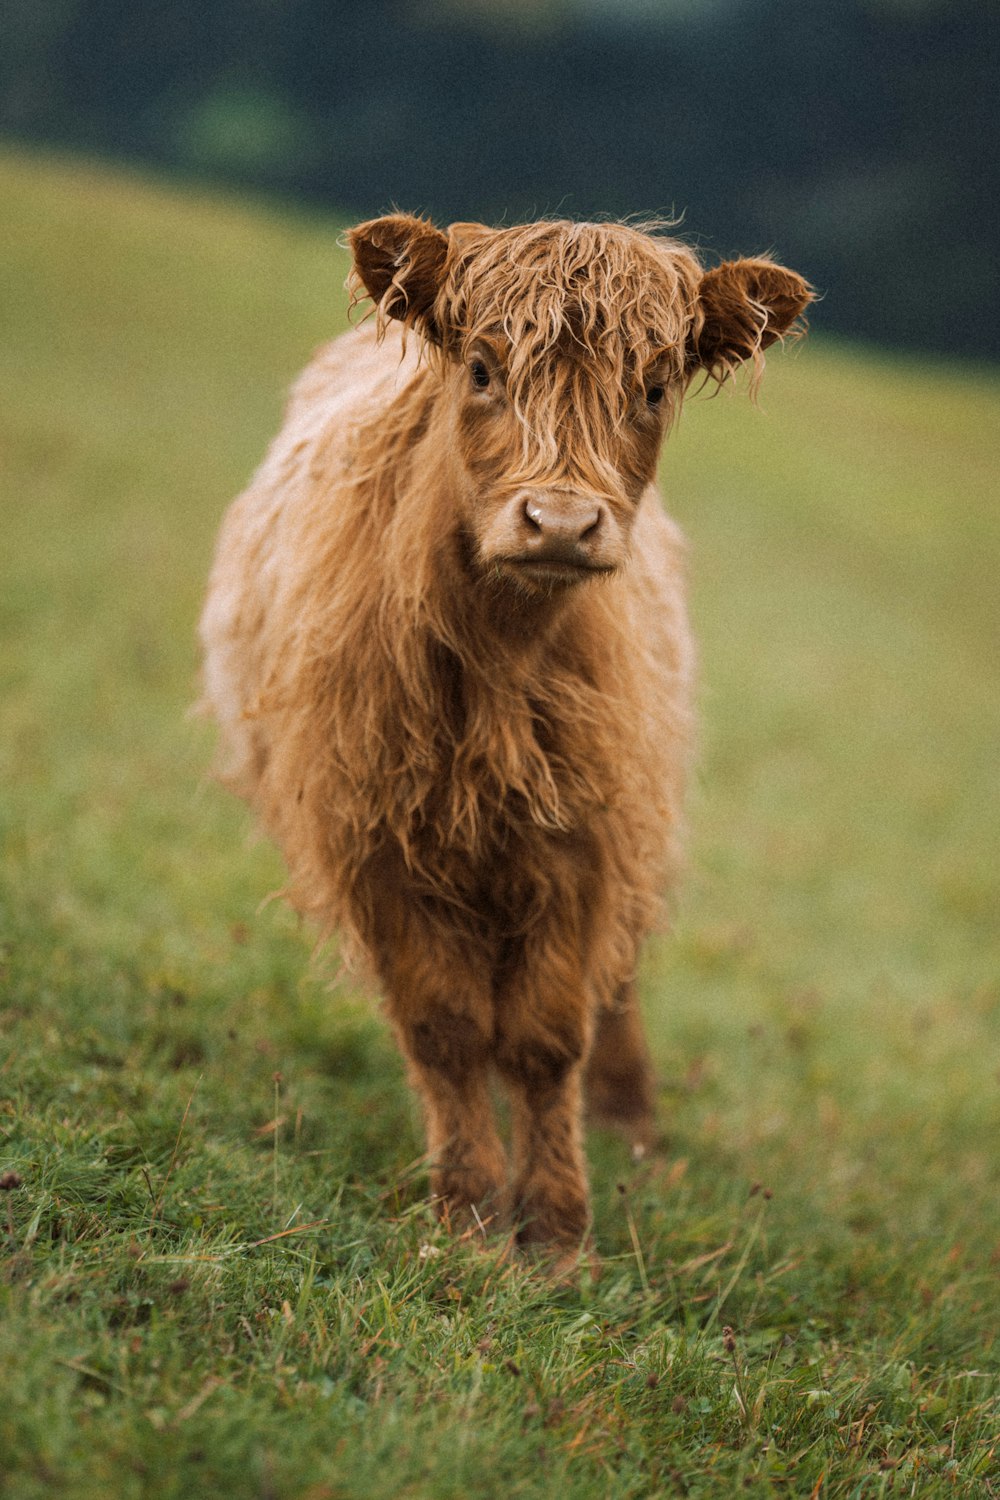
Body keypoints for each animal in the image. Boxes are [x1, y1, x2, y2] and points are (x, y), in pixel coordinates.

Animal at [197, 214, 815, 1266]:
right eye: (482, 368)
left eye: (655, 385)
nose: (561, 521)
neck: (495, 657)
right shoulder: (372, 840)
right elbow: (445, 1027)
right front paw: (470, 1206)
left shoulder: (584, 839)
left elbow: (545, 1037)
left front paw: (559, 1227)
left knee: (618, 983)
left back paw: (630, 1120)